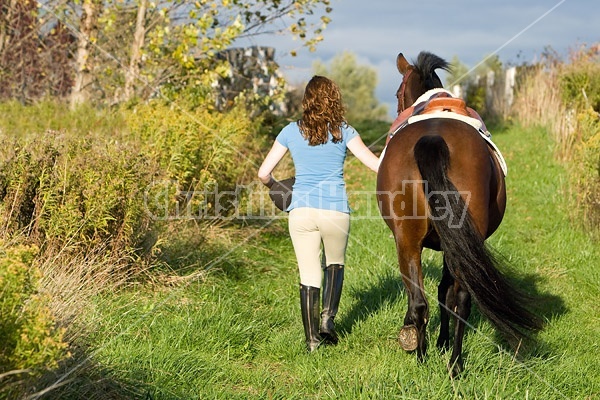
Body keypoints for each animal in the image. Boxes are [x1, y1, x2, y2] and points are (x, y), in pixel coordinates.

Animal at [380, 50, 544, 376]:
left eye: (397, 92)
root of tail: (432, 139)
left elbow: (431, 292)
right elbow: (446, 291)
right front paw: (442, 344)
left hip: (408, 239)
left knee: (421, 300)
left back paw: (423, 359)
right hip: (460, 239)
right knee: (461, 299)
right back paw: (455, 364)